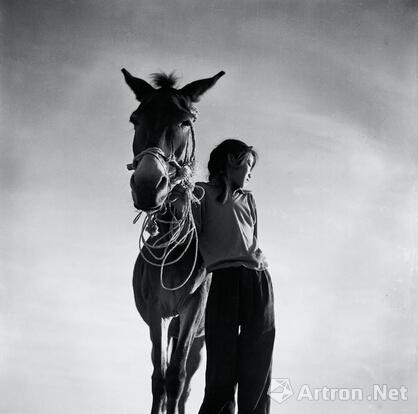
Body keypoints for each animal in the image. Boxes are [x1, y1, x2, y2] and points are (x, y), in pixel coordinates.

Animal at [121, 68, 225, 414]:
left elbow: (176, 377)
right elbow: (159, 375)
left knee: (187, 381)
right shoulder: (157, 311)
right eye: (135, 119)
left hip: (199, 333)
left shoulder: (194, 307)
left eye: (186, 121)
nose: (148, 184)